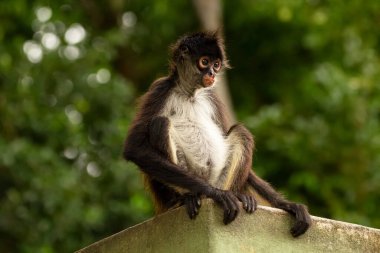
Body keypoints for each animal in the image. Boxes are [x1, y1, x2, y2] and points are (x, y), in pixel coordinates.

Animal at [123, 31, 310, 237]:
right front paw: (217, 194)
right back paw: (187, 198)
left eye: (216, 64)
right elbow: (134, 148)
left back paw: (237, 195)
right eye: (204, 62)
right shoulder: (160, 88)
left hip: (219, 179)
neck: (190, 94)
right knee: (160, 123)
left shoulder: (212, 96)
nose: (212, 73)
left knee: (241, 132)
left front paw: (288, 205)